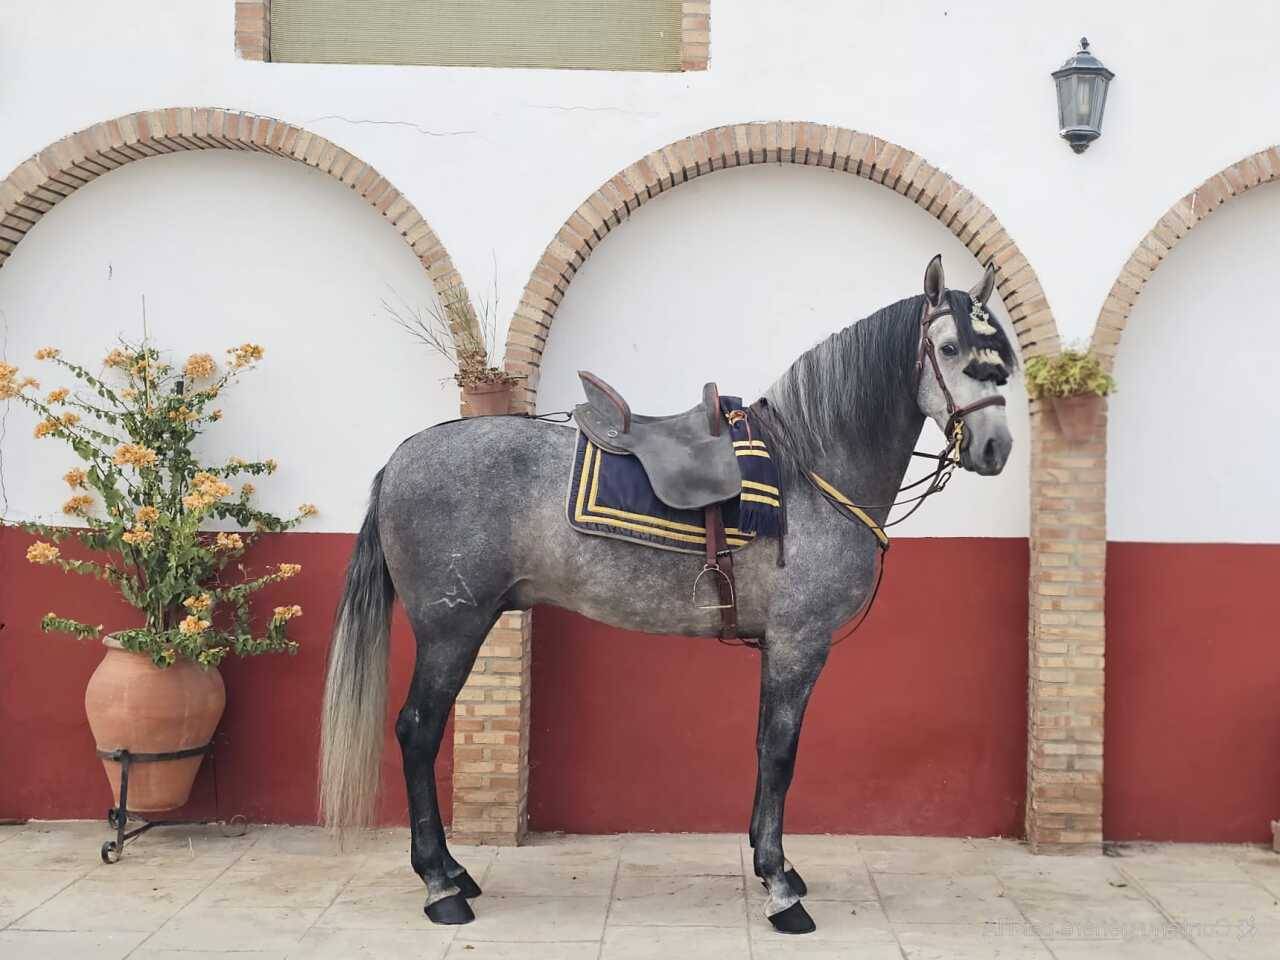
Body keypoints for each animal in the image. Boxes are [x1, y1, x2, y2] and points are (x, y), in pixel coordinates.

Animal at [319, 254, 1017, 934]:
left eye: (997, 352)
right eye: (949, 348)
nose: (996, 446)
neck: (807, 473)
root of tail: (401, 458)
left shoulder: (780, 647)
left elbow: (764, 748)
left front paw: (773, 865)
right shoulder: (798, 644)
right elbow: (780, 753)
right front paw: (780, 887)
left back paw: (455, 873)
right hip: (452, 628)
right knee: (418, 731)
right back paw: (440, 885)